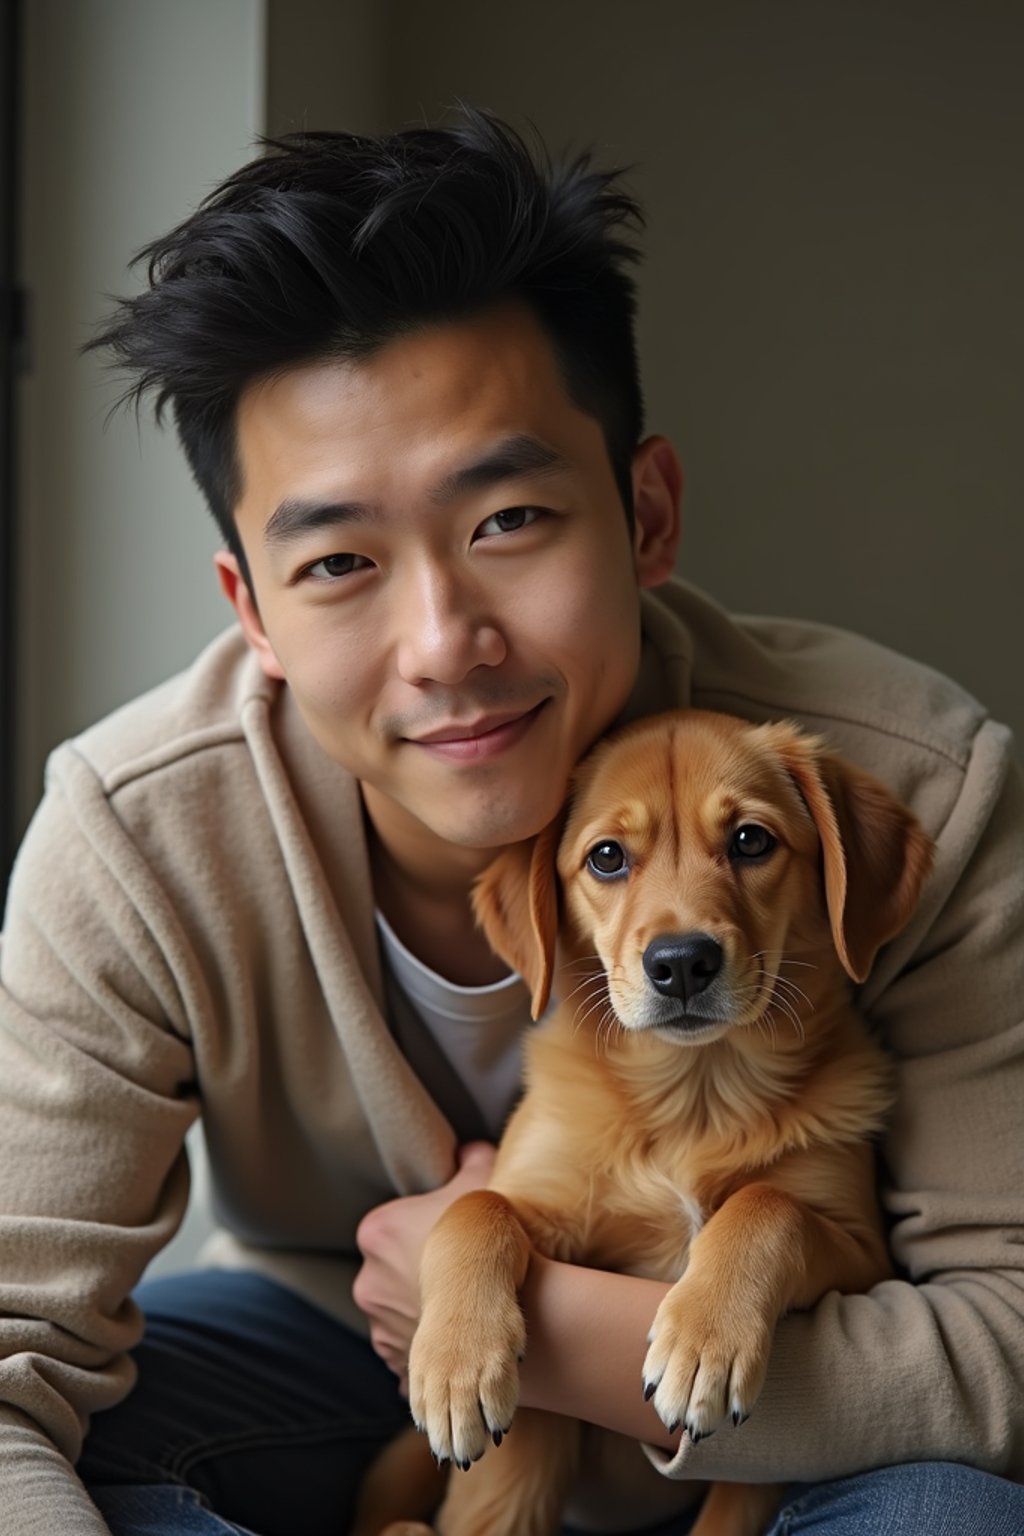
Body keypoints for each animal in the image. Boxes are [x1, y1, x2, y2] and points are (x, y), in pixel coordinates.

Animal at [380, 709, 933, 1536]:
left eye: (751, 841)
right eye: (607, 857)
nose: (680, 964)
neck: (695, 1098)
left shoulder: (867, 1257)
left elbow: (768, 1203)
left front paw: (703, 1342)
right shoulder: (548, 1203)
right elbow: (475, 1208)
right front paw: (454, 1365)